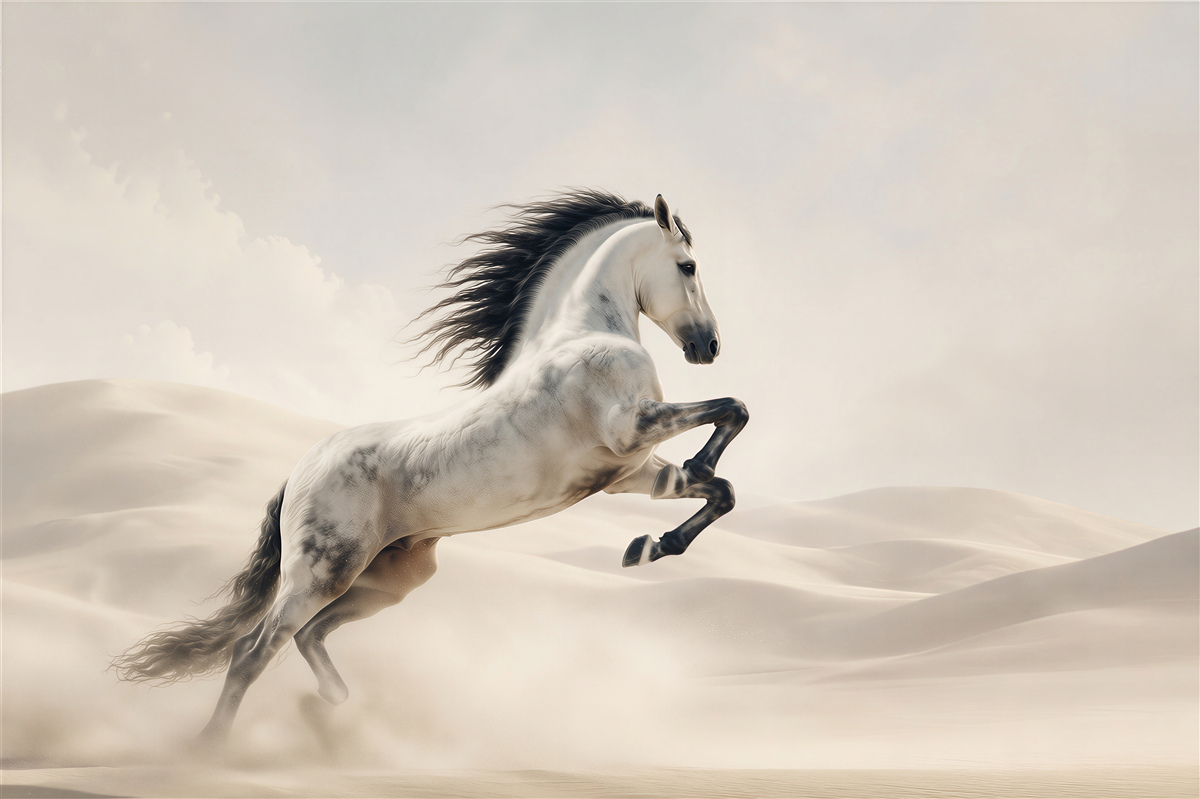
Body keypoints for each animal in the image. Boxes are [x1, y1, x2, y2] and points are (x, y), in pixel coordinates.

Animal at [113, 190, 749, 743]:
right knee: (252, 651)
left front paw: (648, 546)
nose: (709, 346)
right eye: (689, 266)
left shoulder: (627, 473)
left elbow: (720, 490)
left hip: (391, 580)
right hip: (320, 574)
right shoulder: (631, 427)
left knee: (310, 636)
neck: (581, 336)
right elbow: (733, 409)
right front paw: (684, 485)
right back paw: (210, 747)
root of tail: (297, 474)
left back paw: (332, 707)